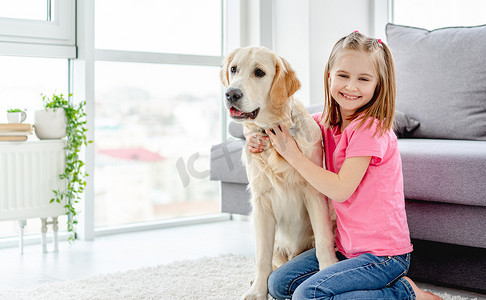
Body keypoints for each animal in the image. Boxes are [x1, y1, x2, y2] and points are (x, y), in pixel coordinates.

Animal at [221, 47, 338, 300]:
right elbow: (262, 256)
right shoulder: (261, 202)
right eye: (233, 69)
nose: (231, 93)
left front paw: (329, 270)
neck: (272, 132)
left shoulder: (314, 193)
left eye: (259, 72)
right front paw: (258, 291)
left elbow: (324, 241)